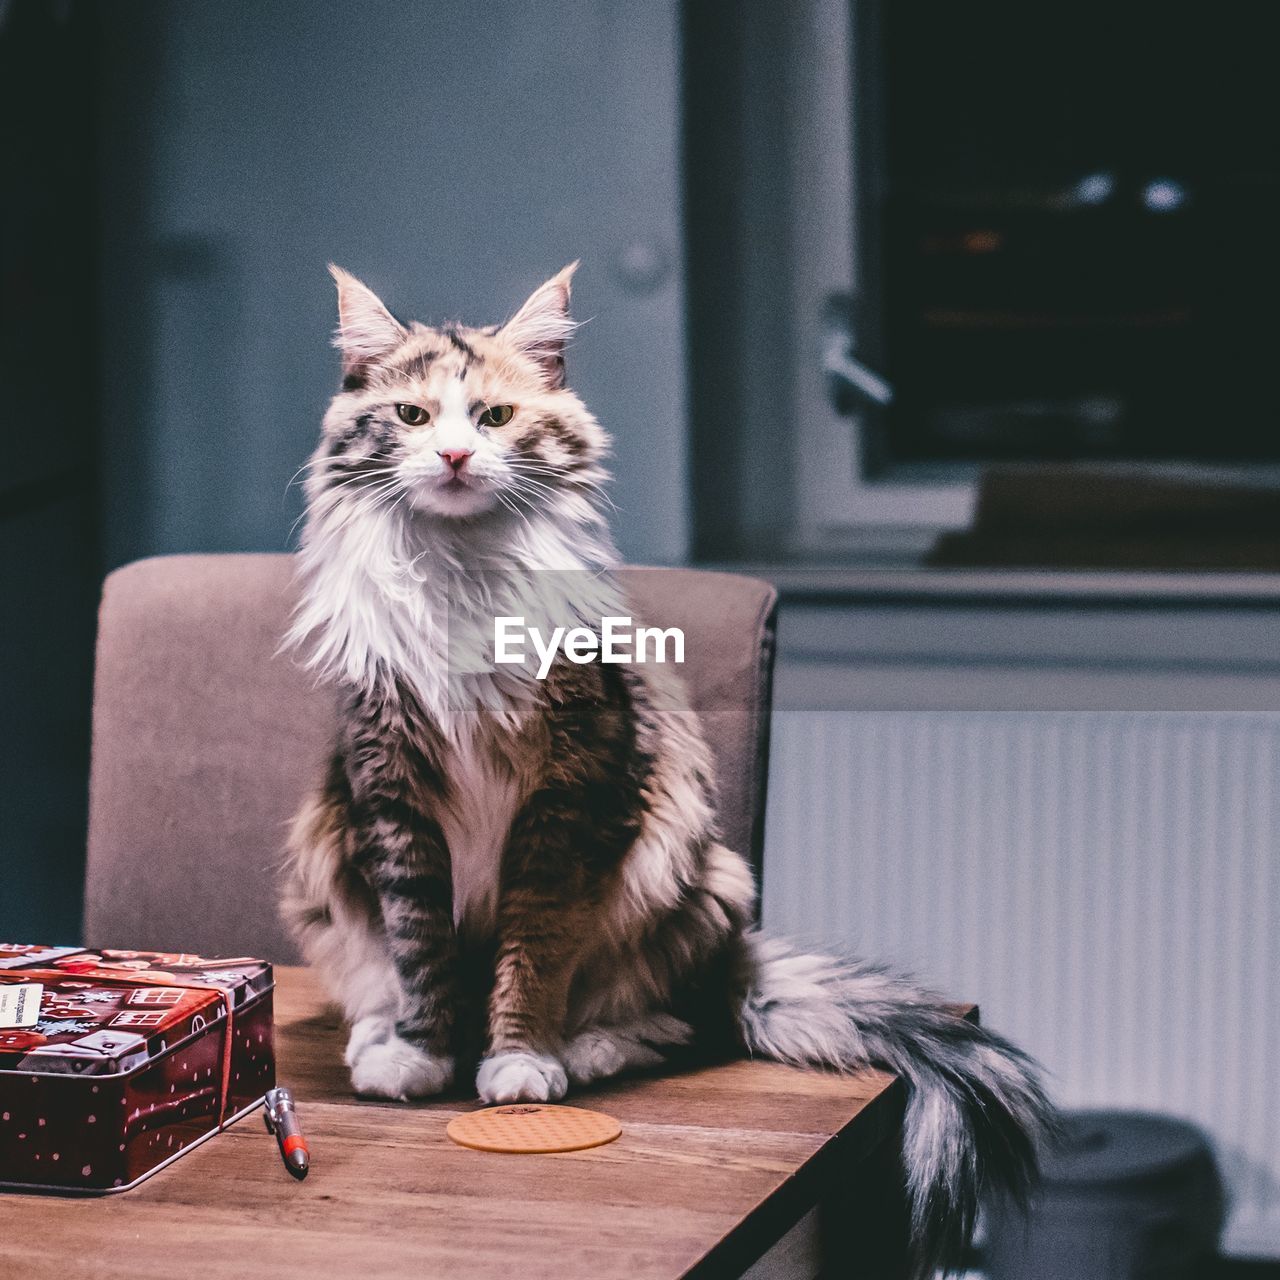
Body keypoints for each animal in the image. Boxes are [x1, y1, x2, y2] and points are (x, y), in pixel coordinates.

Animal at [285, 262, 1054, 1280]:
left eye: (492, 417)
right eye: (412, 416)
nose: (451, 458)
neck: (461, 573)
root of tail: (733, 963)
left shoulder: (565, 793)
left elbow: (533, 953)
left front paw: (517, 1063)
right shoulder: (391, 791)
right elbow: (419, 946)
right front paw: (422, 1053)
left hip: (689, 870)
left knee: (666, 1014)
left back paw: (587, 1048)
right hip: (325, 866)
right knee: (380, 975)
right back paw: (379, 1041)